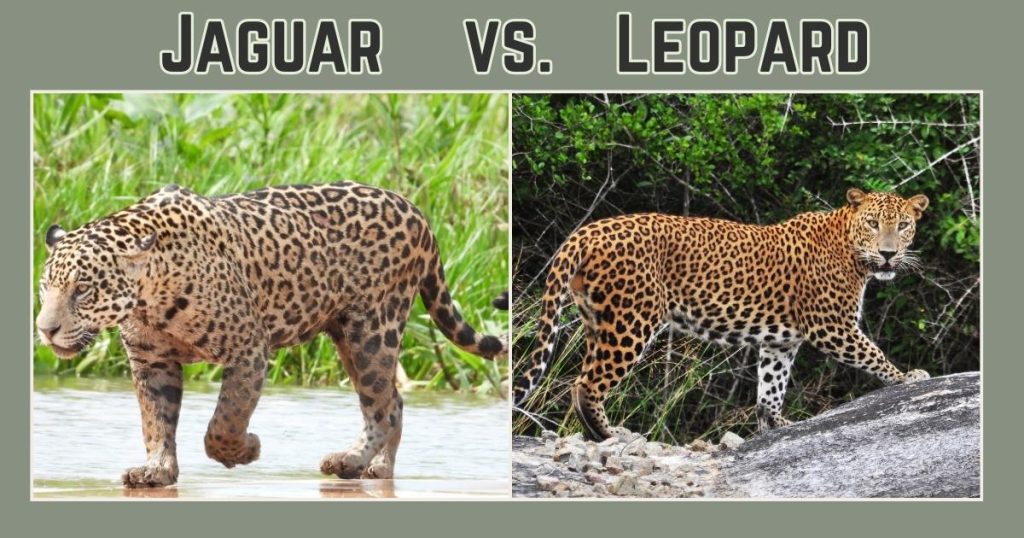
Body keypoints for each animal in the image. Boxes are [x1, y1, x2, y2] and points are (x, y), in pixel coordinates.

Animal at [35, 181, 507, 487]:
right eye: (45, 287)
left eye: (83, 289)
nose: (45, 329)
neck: (151, 294)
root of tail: (415, 210)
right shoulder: (151, 361)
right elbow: (156, 421)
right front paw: (157, 471)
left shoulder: (247, 349)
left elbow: (225, 421)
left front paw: (245, 450)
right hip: (348, 337)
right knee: (396, 400)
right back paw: (376, 469)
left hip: (373, 331)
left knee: (384, 407)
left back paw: (349, 461)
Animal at [513, 188, 931, 441]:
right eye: (873, 223)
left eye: (903, 225)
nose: (889, 254)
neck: (852, 251)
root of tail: (586, 232)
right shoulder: (832, 326)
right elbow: (872, 353)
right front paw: (907, 376)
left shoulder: (780, 342)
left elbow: (770, 388)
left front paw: (776, 425)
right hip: (631, 319)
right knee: (587, 384)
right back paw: (608, 435)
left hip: (598, 320)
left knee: (583, 377)